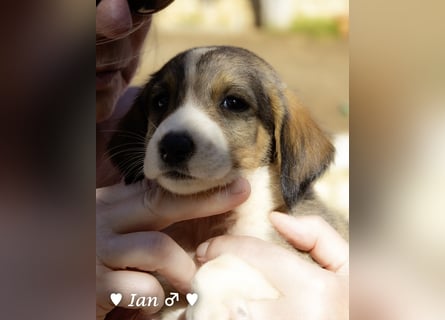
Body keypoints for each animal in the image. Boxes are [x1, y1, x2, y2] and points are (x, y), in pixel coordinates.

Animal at [108, 46, 346, 318]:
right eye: (160, 101)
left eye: (234, 103)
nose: (173, 146)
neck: (205, 224)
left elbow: (220, 264)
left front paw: (209, 307)